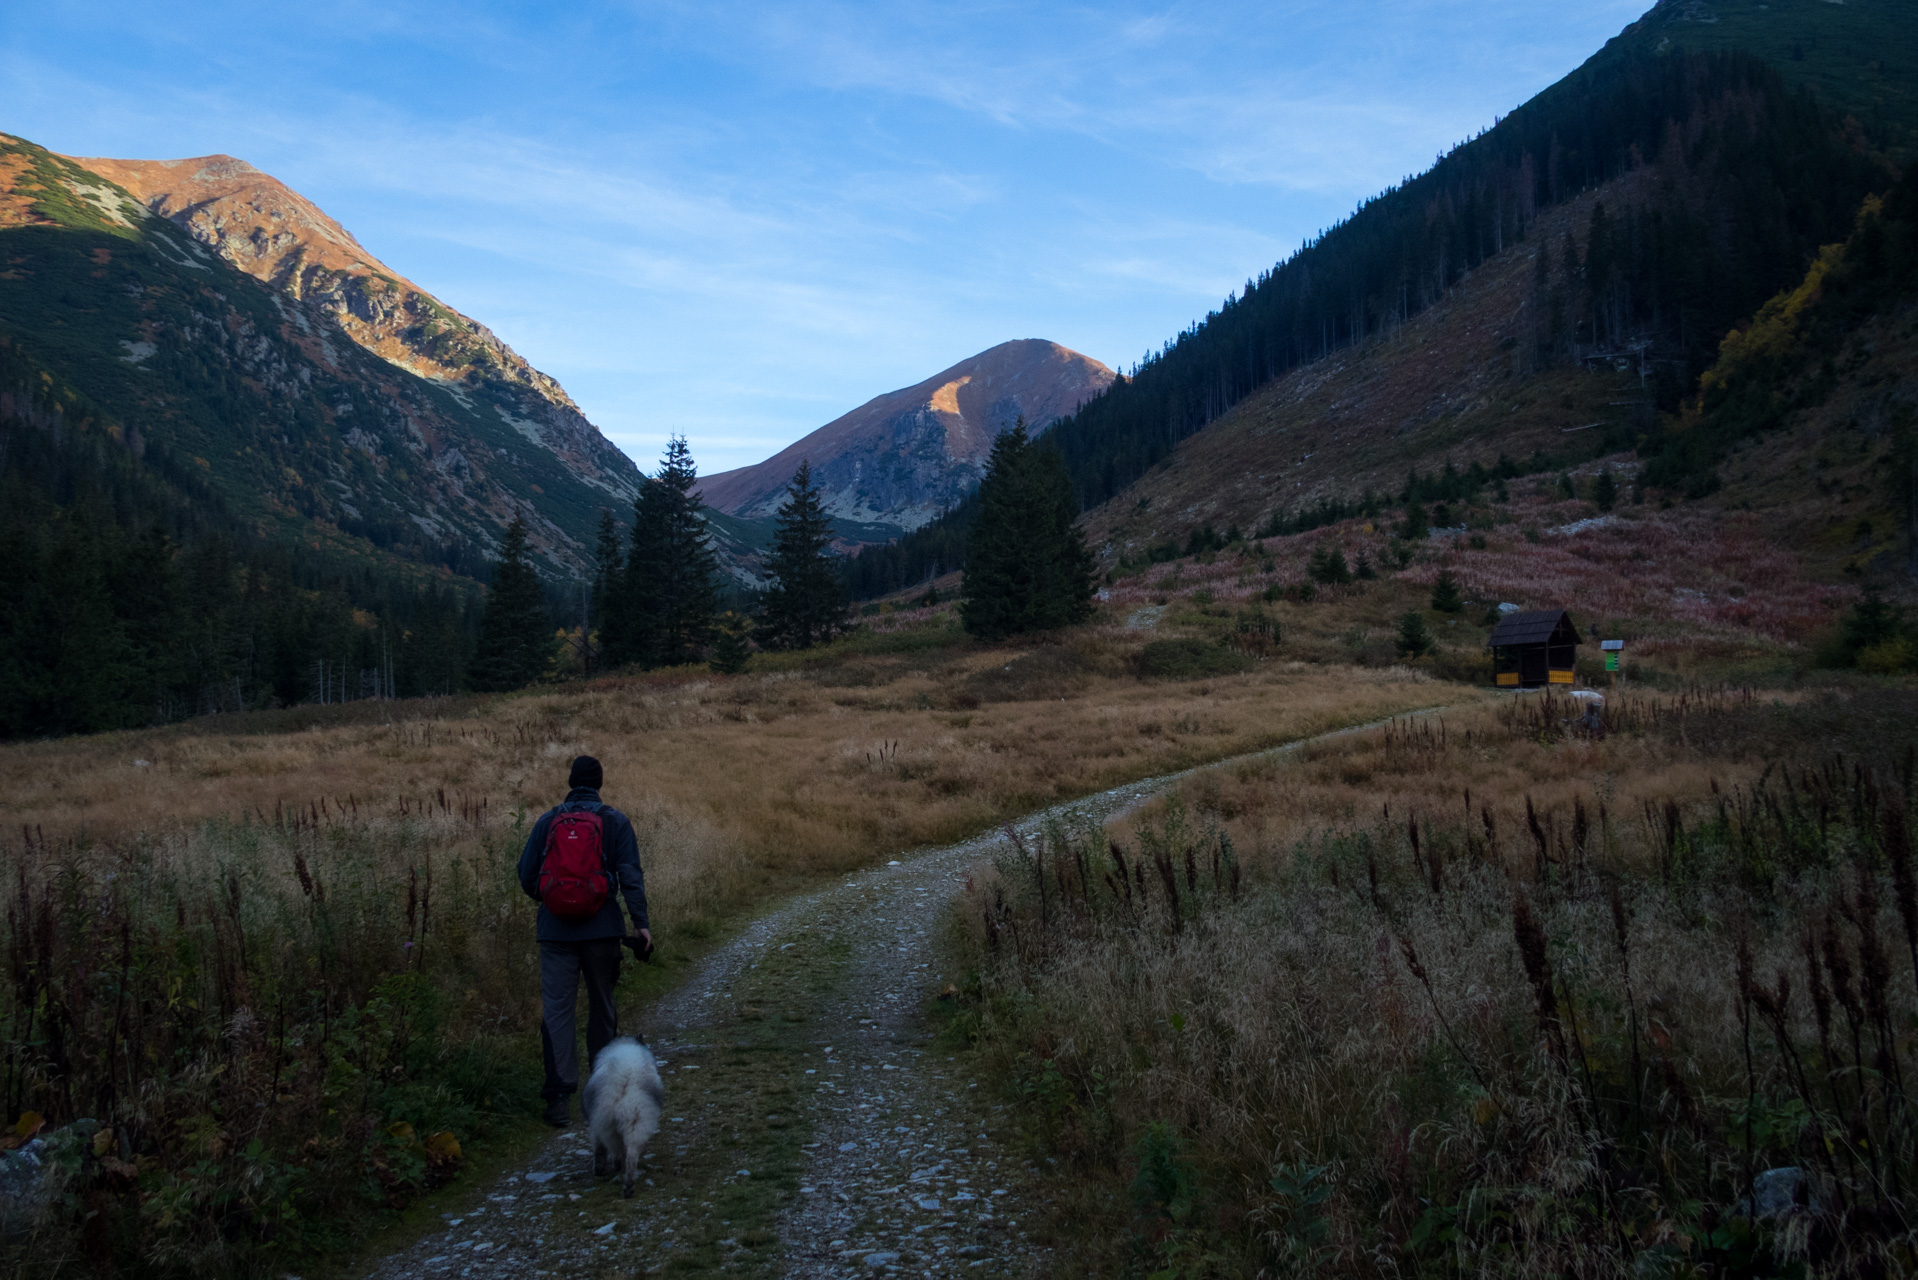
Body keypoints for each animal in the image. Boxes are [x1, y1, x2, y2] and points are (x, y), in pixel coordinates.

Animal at [583, 1036, 667, 1197]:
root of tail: (625, 1076)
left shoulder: (596, 1122)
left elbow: (598, 1145)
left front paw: (598, 1168)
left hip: (610, 1121)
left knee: (618, 1149)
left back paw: (619, 1171)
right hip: (637, 1119)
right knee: (631, 1153)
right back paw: (628, 1186)